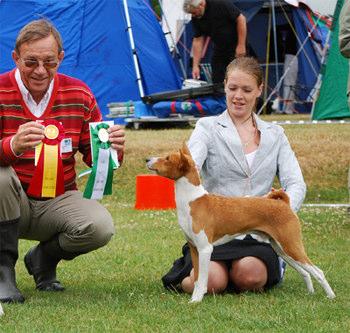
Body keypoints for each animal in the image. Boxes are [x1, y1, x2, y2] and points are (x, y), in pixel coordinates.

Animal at [146, 144, 334, 302]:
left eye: (167, 158)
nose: (147, 159)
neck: (192, 200)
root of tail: (284, 204)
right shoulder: (194, 248)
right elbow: (198, 278)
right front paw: (194, 298)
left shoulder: (205, 249)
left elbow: (204, 279)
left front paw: (196, 301)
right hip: (282, 249)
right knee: (305, 272)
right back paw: (310, 293)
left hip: (291, 245)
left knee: (318, 271)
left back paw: (330, 296)